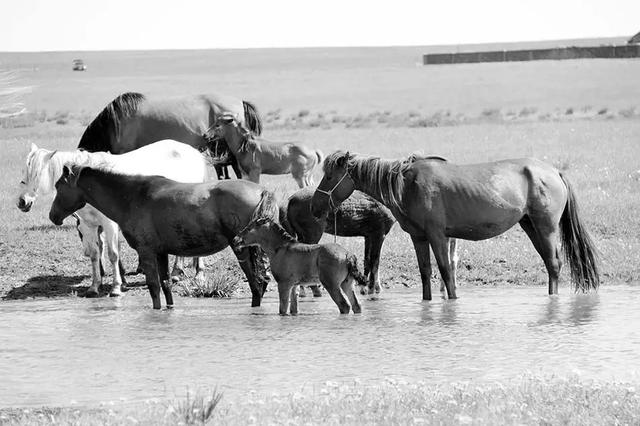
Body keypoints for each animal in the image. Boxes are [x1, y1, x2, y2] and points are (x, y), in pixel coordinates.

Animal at [17, 141, 208, 298]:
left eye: (35, 175)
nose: (22, 202)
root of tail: (193, 152)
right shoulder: (88, 227)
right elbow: (95, 254)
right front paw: (94, 287)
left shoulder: (110, 224)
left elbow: (113, 254)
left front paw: (116, 287)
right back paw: (177, 272)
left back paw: (198, 273)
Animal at [48, 166, 278, 310]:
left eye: (59, 186)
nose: (53, 216)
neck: (132, 197)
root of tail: (261, 191)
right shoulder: (161, 253)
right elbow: (166, 284)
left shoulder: (147, 252)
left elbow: (153, 287)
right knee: (262, 282)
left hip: (242, 250)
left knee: (256, 283)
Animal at [234, 218, 364, 314]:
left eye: (249, 228)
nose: (235, 240)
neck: (279, 249)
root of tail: (348, 254)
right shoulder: (294, 285)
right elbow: (293, 309)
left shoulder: (283, 284)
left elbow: (282, 310)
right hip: (347, 283)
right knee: (356, 306)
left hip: (331, 284)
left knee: (344, 306)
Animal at [312, 151, 600, 302]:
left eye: (330, 176)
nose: (315, 206)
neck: (407, 185)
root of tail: (553, 171)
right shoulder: (419, 237)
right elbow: (426, 272)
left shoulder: (438, 235)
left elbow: (446, 271)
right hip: (531, 226)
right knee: (550, 264)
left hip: (546, 228)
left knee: (554, 265)